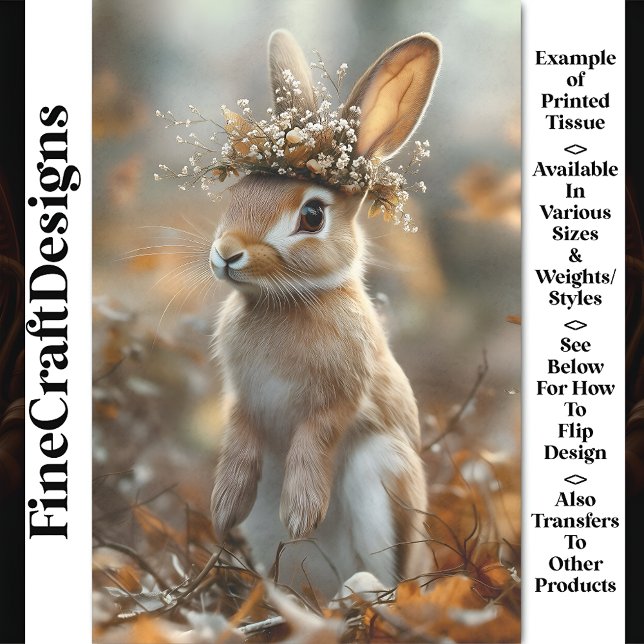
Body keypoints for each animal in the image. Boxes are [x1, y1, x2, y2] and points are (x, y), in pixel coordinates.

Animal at [209, 29, 441, 599]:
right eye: (239, 192)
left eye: (312, 215)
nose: (226, 253)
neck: (289, 298)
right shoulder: (242, 399)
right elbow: (239, 440)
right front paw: (222, 508)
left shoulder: (340, 397)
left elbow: (317, 438)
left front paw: (301, 512)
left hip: (383, 476)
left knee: (387, 578)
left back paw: (357, 592)